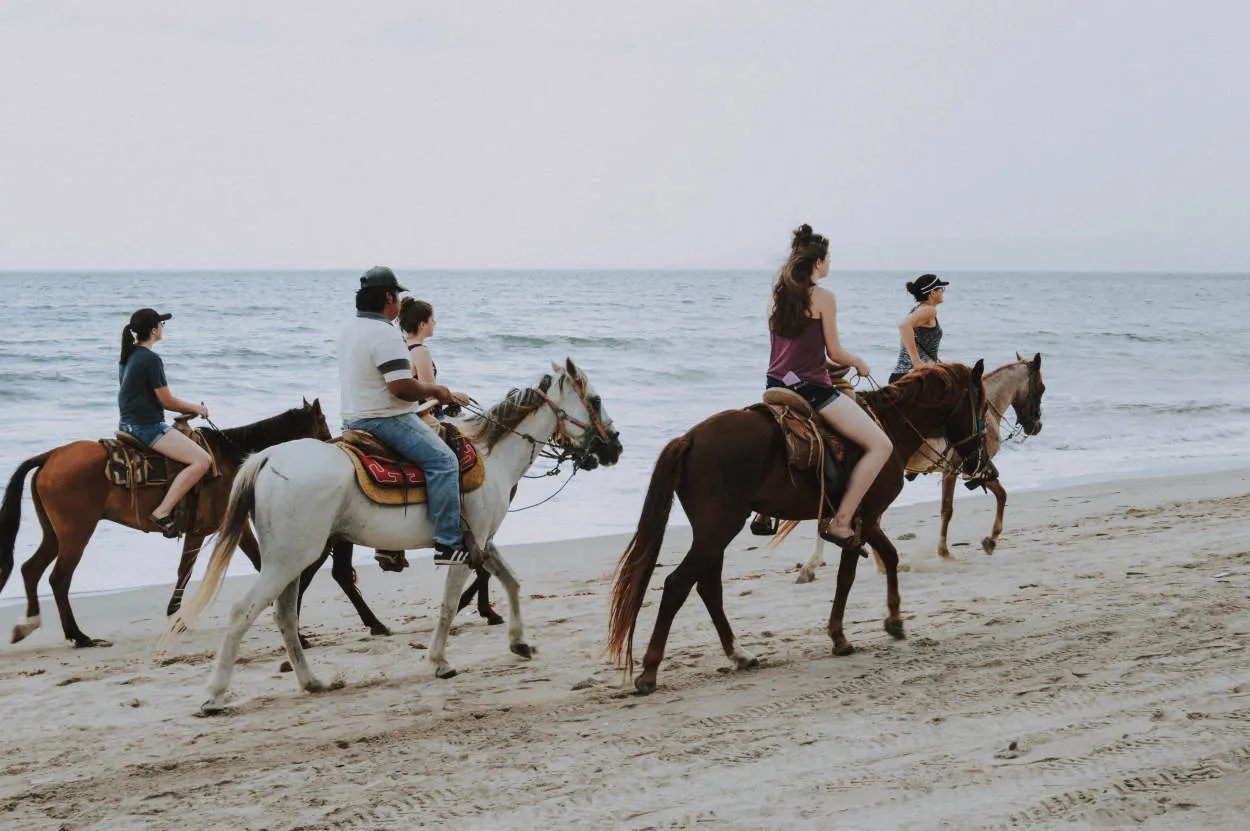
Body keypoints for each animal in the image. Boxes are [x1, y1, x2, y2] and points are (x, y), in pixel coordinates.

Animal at [0, 402, 395, 649]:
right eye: (323, 425)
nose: (337, 449)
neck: (235, 457)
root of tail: (50, 456)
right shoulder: (225, 527)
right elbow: (244, 565)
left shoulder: (206, 531)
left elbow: (186, 570)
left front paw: (176, 616)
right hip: (76, 533)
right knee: (58, 578)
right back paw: (78, 635)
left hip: (55, 533)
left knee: (32, 569)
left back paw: (29, 624)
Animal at [161, 357, 620, 714]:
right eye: (595, 400)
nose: (614, 446)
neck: (491, 456)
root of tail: (268, 457)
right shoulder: (463, 548)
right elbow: (449, 606)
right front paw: (439, 661)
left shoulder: (482, 542)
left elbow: (511, 581)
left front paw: (519, 642)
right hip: (291, 558)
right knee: (245, 612)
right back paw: (214, 695)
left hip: (290, 559)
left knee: (285, 615)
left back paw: (311, 681)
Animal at [607, 362, 995, 694]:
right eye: (980, 405)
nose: (983, 463)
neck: (889, 428)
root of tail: (689, 439)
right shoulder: (864, 517)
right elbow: (859, 570)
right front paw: (849, 634)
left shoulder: (860, 521)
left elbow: (881, 559)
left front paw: (889, 620)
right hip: (718, 528)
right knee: (678, 585)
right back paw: (650, 671)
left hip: (713, 532)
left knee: (707, 587)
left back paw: (739, 654)